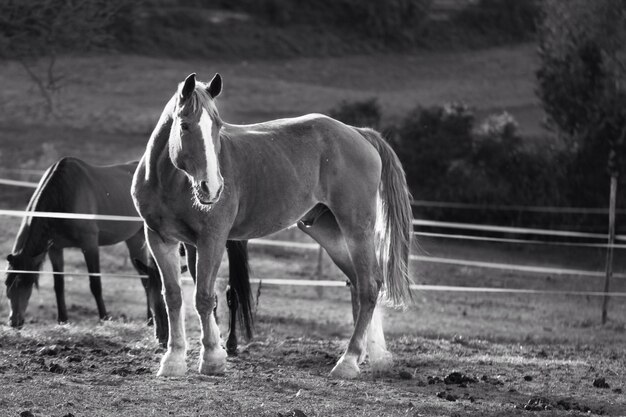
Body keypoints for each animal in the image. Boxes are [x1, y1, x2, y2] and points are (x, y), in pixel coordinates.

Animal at [4, 156, 166, 334]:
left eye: (24, 282)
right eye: (7, 284)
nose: (14, 322)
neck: (63, 194)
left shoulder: (89, 245)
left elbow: (95, 284)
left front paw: (104, 319)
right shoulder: (55, 249)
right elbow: (58, 285)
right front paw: (63, 321)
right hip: (134, 240)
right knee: (146, 279)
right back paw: (150, 320)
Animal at [131, 73, 412, 378]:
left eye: (218, 126)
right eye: (184, 125)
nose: (212, 187)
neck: (169, 181)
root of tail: (358, 133)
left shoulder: (212, 239)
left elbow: (204, 297)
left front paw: (213, 359)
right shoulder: (161, 238)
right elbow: (173, 297)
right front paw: (173, 359)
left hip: (356, 228)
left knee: (369, 286)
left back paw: (348, 361)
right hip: (328, 231)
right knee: (363, 283)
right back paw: (375, 355)